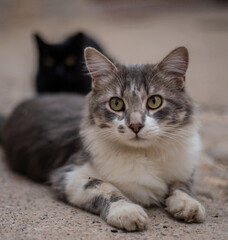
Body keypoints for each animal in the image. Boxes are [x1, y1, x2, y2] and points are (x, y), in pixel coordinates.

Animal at [0, 46, 205, 231]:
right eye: (116, 104)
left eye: (155, 101)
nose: (135, 126)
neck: (145, 154)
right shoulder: (70, 175)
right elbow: (106, 188)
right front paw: (126, 211)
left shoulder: (185, 168)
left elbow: (182, 185)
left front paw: (189, 204)